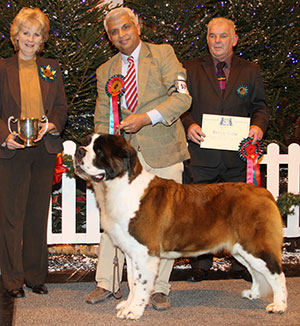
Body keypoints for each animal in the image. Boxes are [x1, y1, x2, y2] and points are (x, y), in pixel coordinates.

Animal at [74, 134, 288, 320]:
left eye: (99, 151)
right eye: (87, 143)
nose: (79, 150)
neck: (121, 186)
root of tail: (264, 192)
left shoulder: (145, 253)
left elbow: (141, 283)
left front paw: (133, 311)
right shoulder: (131, 252)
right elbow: (132, 281)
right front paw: (127, 305)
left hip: (254, 245)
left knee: (277, 273)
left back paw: (279, 305)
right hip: (241, 249)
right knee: (256, 272)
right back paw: (253, 294)